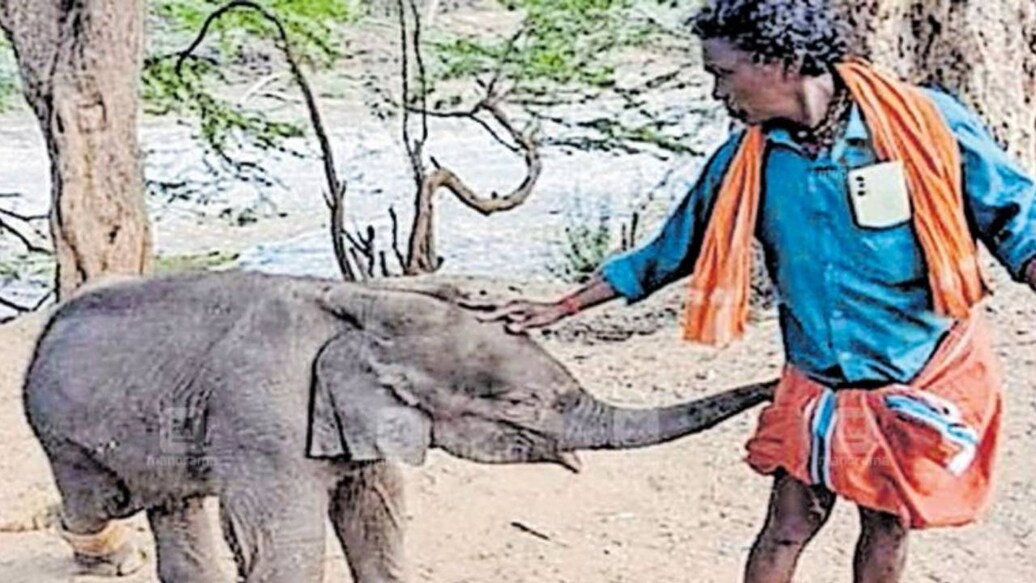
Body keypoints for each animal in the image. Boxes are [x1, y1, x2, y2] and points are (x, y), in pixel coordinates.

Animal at [22, 270, 774, 582]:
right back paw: (105, 554)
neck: (369, 302)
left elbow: (376, 514)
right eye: (520, 403)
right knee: (100, 501)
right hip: (66, 437)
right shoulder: (262, 418)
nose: (775, 388)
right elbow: (285, 543)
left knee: (174, 509)